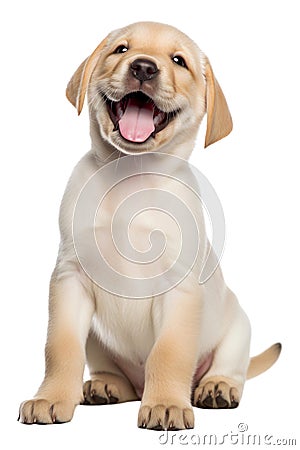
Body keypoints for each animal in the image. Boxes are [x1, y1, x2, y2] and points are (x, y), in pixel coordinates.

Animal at [19, 21, 282, 428]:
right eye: (121, 49)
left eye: (179, 61)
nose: (143, 67)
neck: (130, 175)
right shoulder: (70, 277)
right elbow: (59, 348)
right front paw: (50, 398)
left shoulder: (179, 289)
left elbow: (169, 353)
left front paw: (166, 404)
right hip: (98, 340)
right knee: (113, 373)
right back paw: (105, 386)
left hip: (238, 326)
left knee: (229, 367)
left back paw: (217, 387)